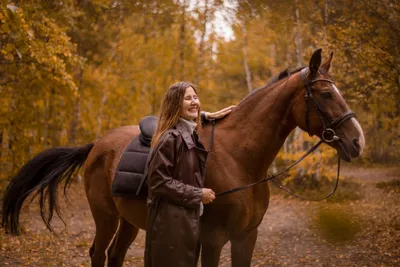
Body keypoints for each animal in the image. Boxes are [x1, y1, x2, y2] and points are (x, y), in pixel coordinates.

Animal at [2, 49, 366, 266]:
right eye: (325, 93)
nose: (357, 141)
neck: (240, 160)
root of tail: (97, 146)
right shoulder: (214, 238)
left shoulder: (246, 237)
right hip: (105, 217)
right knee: (98, 253)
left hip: (128, 220)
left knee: (116, 254)